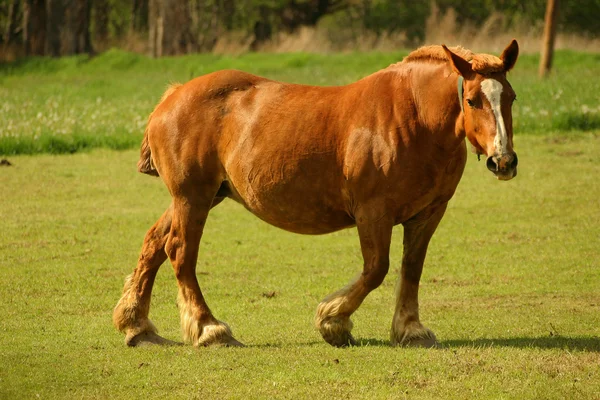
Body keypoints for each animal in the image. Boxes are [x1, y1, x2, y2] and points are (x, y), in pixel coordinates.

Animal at [113, 39, 520, 348]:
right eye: (472, 99)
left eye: (511, 97)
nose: (503, 160)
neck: (414, 117)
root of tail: (174, 95)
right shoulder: (373, 212)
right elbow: (376, 269)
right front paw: (333, 321)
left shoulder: (428, 213)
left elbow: (412, 267)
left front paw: (410, 329)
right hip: (193, 197)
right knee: (180, 252)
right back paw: (209, 328)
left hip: (202, 196)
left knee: (155, 244)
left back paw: (137, 326)